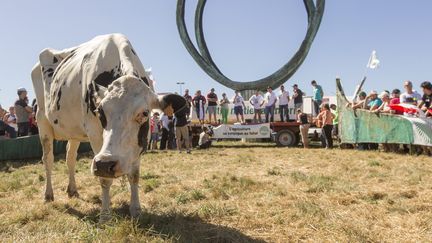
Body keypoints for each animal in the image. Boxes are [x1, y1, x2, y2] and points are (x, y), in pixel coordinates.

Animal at [30, 33, 186, 221]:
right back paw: (48, 194)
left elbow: (134, 175)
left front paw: (136, 210)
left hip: (74, 131)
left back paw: (72, 190)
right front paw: (105, 215)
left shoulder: (140, 142)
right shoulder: (95, 136)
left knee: (70, 157)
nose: (107, 163)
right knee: (48, 159)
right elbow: (104, 178)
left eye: (144, 113)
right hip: (42, 122)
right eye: (100, 112)